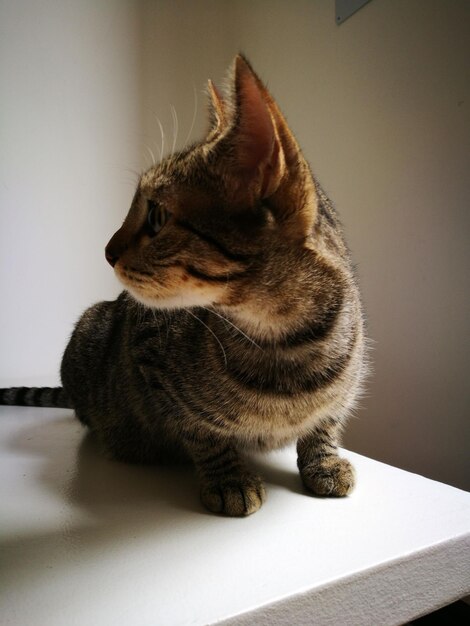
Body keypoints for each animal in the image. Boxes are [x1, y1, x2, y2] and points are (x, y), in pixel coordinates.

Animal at [0, 56, 368, 516]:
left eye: (157, 216)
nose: (106, 251)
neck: (287, 342)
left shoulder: (346, 386)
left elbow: (327, 420)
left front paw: (324, 460)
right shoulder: (150, 359)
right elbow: (202, 431)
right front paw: (229, 479)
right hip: (90, 328)